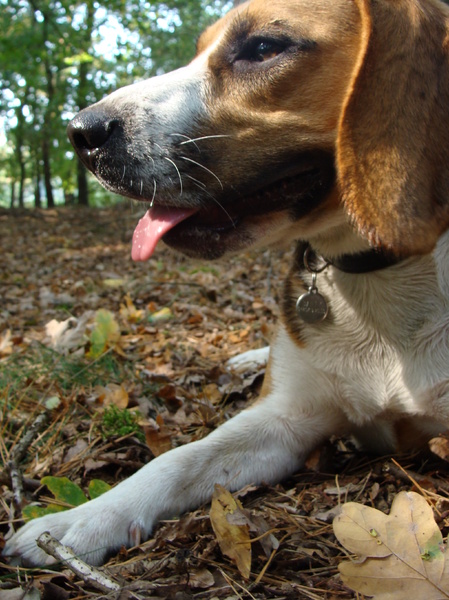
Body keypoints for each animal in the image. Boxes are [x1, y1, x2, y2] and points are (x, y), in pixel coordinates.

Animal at [5, 0, 448, 568]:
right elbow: (176, 460)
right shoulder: (284, 420)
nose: (81, 131)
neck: (377, 272)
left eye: (262, 47)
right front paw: (77, 521)